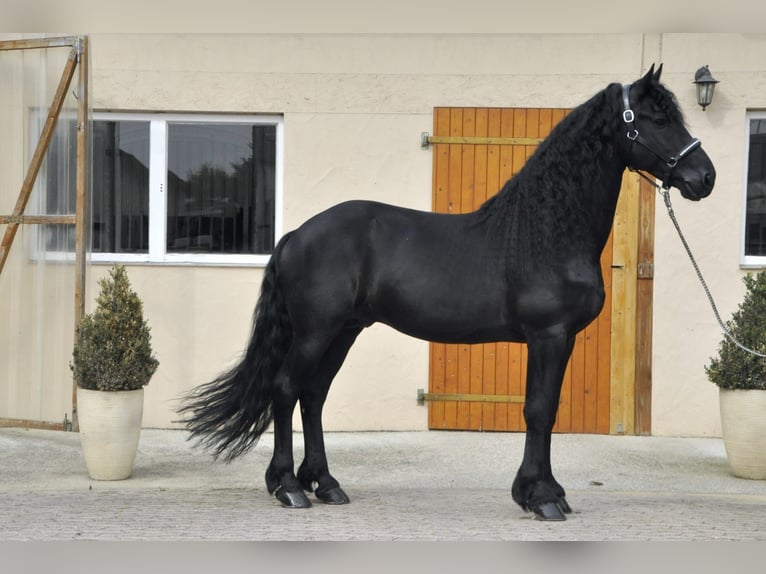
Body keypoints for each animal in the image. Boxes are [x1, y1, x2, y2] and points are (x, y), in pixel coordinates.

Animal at [178, 65, 716, 521]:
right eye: (657, 119)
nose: (705, 177)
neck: (546, 231)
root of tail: (295, 235)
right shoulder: (548, 336)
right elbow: (539, 410)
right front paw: (540, 498)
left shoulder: (559, 340)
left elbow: (547, 410)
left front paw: (546, 492)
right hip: (316, 331)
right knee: (287, 389)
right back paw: (289, 487)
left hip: (344, 331)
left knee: (313, 395)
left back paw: (326, 484)